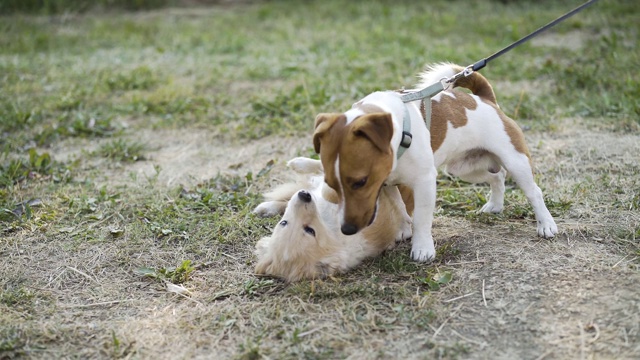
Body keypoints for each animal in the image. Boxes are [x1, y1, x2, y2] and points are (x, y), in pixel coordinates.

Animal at [312, 63, 556, 262]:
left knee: (533, 192)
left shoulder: (424, 182)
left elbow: (421, 218)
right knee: (497, 176)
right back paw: (495, 204)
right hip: (464, 168)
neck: (400, 134)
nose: (347, 229)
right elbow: (400, 207)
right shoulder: (385, 181)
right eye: (331, 185)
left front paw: (422, 249)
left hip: (515, 161)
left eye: (360, 182)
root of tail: (486, 100)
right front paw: (403, 229)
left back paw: (546, 225)